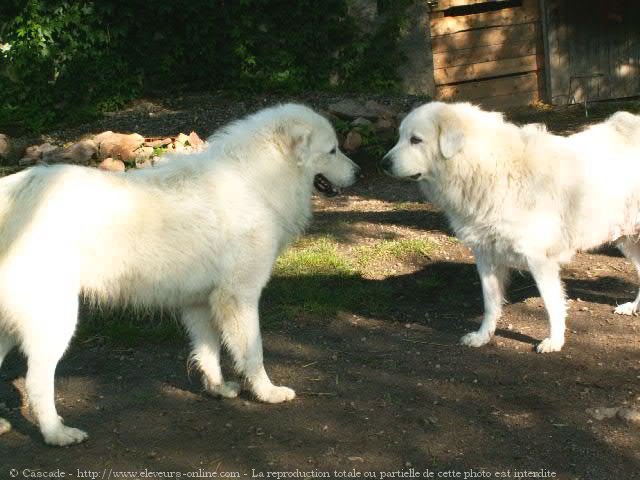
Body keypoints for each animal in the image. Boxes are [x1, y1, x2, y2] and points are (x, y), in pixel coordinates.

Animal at [380, 101, 640, 354]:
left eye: (415, 140)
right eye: (400, 137)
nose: (383, 164)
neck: (482, 169)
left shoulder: (540, 260)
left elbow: (552, 305)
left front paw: (555, 341)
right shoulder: (485, 256)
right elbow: (490, 303)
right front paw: (483, 337)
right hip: (626, 239)